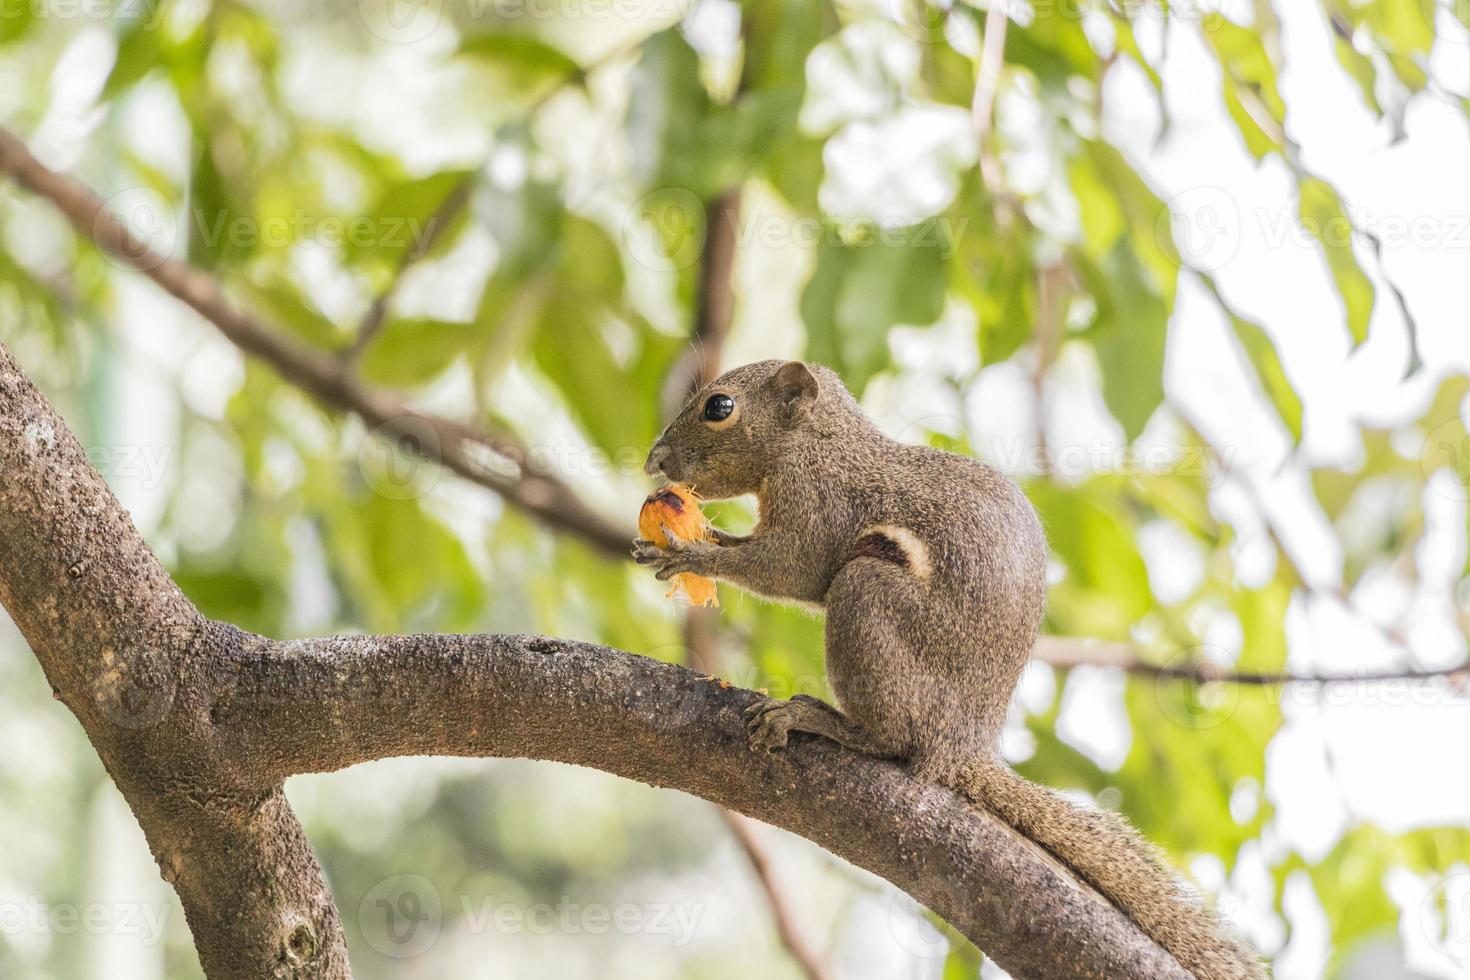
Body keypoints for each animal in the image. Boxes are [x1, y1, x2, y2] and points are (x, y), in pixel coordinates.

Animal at [632, 359, 1264, 980]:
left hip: (868, 600)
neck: (816, 443)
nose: (654, 460)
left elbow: (791, 569)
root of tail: (959, 744)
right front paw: (697, 534)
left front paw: (690, 553)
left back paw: (814, 719)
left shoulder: (820, 503)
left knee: (890, 737)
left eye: (719, 407)